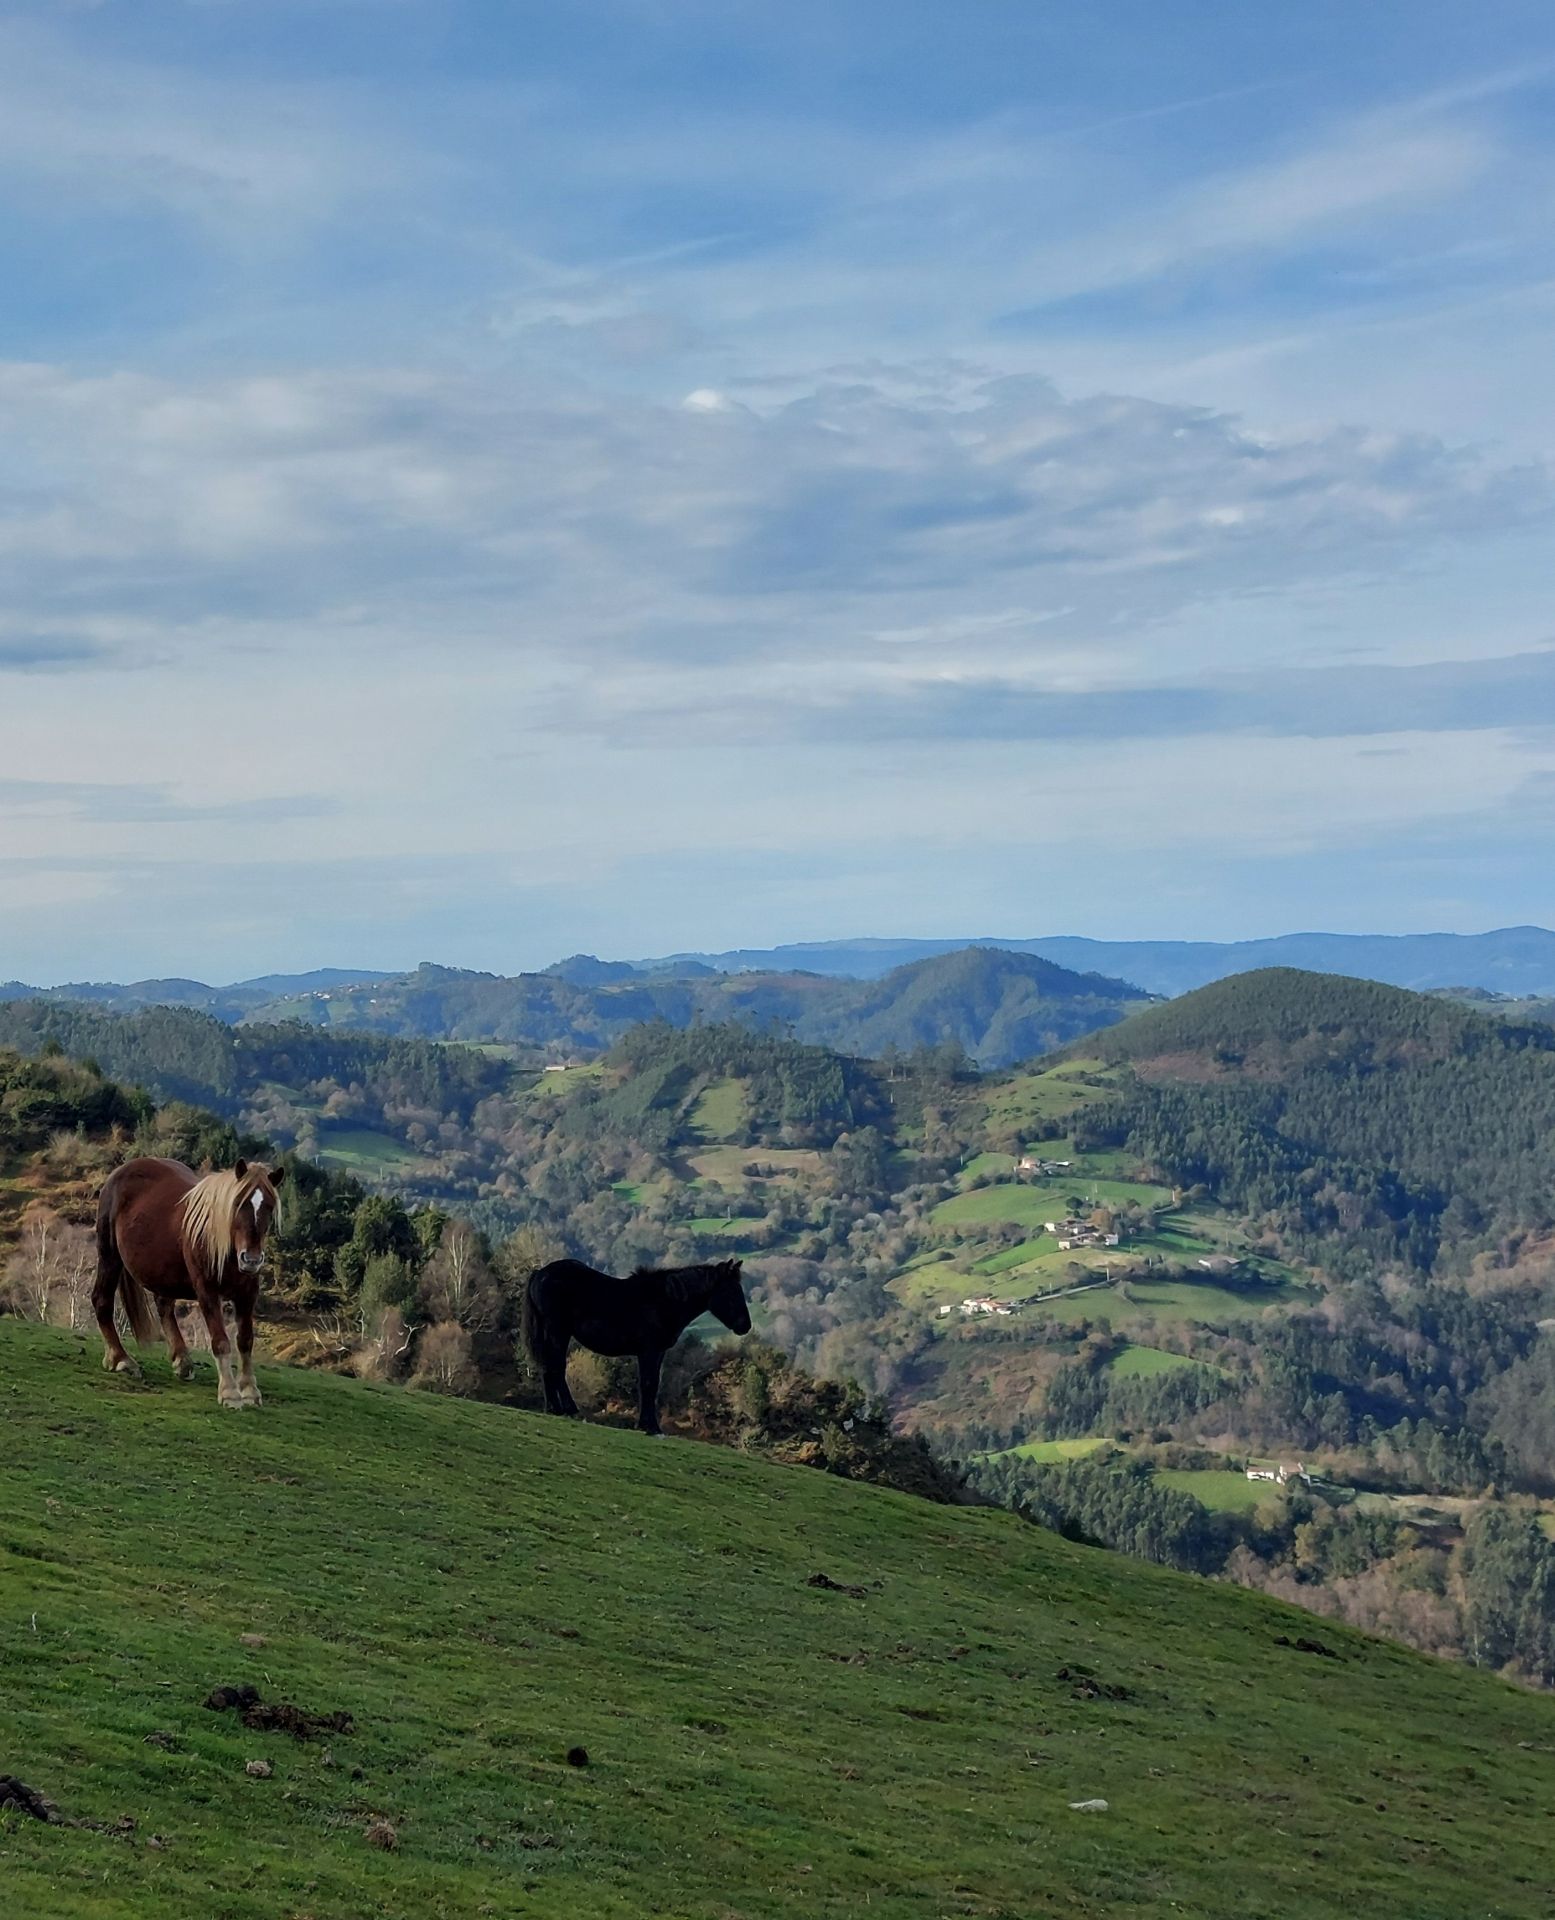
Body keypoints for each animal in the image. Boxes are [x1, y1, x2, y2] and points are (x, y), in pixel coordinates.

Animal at [92, 1152, 284, 1413]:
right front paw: (230, 1393)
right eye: (237, 1203)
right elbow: (220, 1341)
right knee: (102, 1300)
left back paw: (182, 1361)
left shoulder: (247, 1293)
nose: (251, 1259)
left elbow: (245, 1340)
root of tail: (118, 1173)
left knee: (164, 1307)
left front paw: (250, 1390)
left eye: (269, 1207)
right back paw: (121, 1359)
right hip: (110, 1258)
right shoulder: (207, 1291)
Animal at [526, 1251, 752, 1436]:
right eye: (731, 1291)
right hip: (558, 1331)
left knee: (548, 1366)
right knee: (556, 1366)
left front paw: (647, 1424)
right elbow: (648, 1385)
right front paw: (650, 1427)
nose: (745, 1326)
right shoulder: (649, 1352)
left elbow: (652, 1385)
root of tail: (540, 1273)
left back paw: (554, 1408)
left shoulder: (658, 1353)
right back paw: (568, 1409)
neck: (665, 1300)